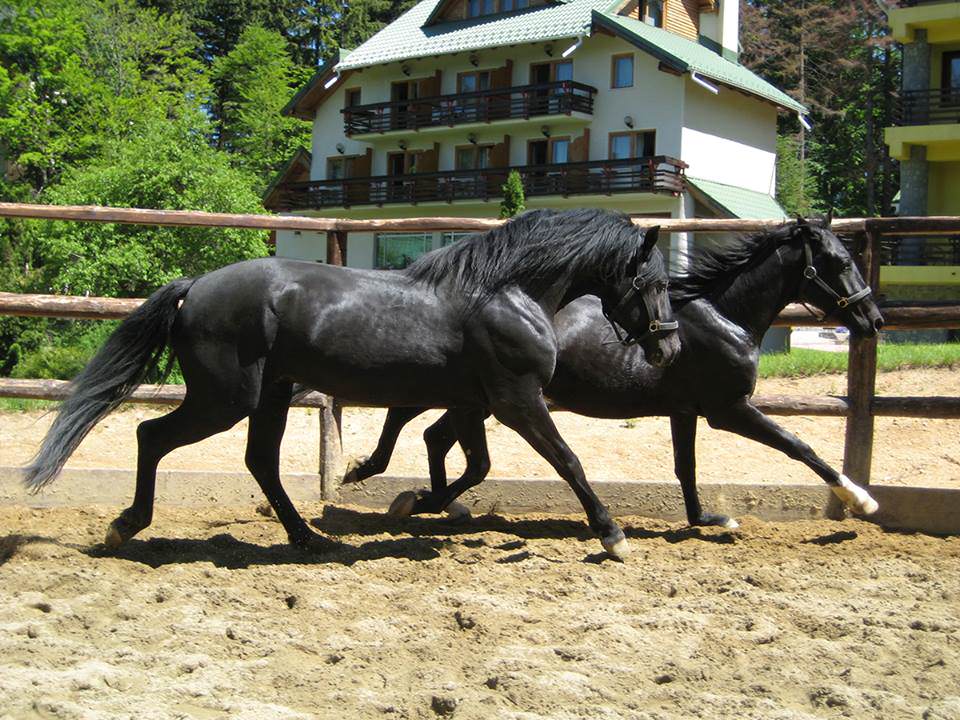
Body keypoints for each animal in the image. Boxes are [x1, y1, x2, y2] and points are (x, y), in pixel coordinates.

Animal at [24, 208, 684, 556]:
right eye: (652, 282)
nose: (670, 347)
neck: (506, 294)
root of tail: (197, 287)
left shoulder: (475, 402)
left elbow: (472, 464)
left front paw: (416, 501)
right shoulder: (516, 400)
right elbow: (567, 461)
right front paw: (612, 534)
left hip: (269, 394)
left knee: (259, 460)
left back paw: (309, 538)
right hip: (225, 397)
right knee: (151, 436)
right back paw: (126, 525)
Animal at [344, 218, 884, 524]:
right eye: (839, 261)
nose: (874, 320)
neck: (723, 316)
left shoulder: (684, 411)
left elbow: (686, 466)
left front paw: (703, 519)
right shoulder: (728, 409)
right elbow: (800, 446)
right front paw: (861, 501)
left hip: (478, 399)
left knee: (432, 436)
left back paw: (428, 500)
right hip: (482, 396)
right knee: (411, 422)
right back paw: (392, 486)